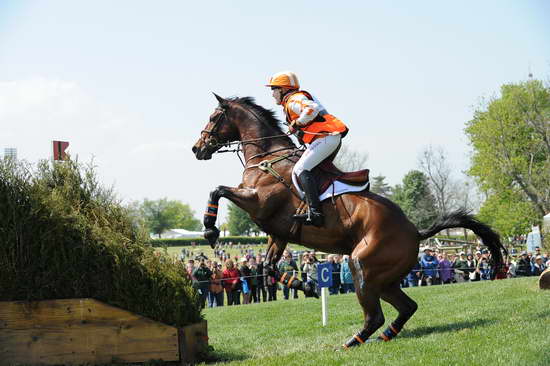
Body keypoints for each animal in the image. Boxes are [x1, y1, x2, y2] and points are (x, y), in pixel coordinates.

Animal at [192, 93, 506, 348]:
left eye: (213, 117)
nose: (197, 148)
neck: (267, 156)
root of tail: (416, 231)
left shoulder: (258, 201)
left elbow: (217, 190)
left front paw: (210, 230)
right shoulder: (278, 235)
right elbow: (268, 268)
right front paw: (307, 287)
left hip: (362, 266)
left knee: (376, 314)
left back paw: (353, 341)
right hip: (385, 279)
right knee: (407, 307)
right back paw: (385, 336)